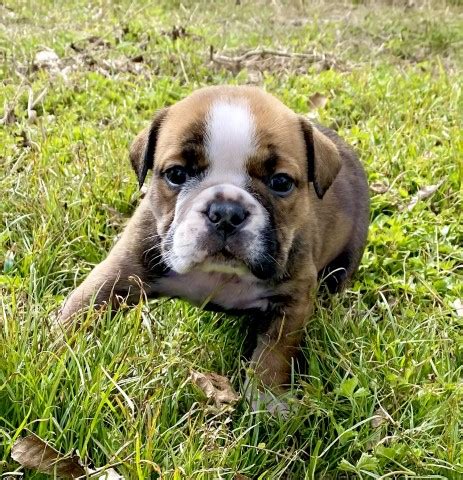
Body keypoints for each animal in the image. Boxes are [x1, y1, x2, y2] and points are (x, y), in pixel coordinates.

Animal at [58, 84, 370, 410]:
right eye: (176, 175)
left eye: (281, 182)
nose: (226, 212)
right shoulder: (119, 273)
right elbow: (81, 309)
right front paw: (52, 353)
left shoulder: (293, 300)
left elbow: (275, 353)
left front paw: (267, 400)